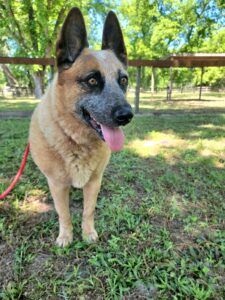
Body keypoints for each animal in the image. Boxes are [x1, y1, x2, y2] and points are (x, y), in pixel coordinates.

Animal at [28, 7, 133, 246]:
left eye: (123, 81)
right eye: (92, 81)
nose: (127, 115)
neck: (75, 139)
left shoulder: (94, 182)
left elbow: (88, 210)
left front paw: (88, 233)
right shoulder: (58, 185)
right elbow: (64, 213)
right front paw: (66, 236)